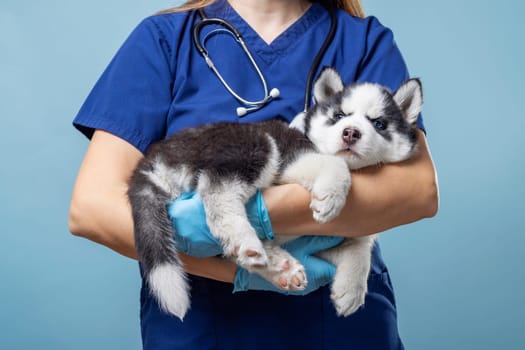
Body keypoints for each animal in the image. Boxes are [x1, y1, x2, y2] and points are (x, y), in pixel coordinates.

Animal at [127, 67, 422, 322]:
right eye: (339, 116)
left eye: (379, 123)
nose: (351, 133)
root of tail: (153, 160)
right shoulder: (293, 160)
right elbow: (335, 165)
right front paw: (331, 196)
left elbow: (360, 246)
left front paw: (351, 288)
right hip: (255, 145)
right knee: (216, 188)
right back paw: (244, 240)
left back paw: (279, 265)